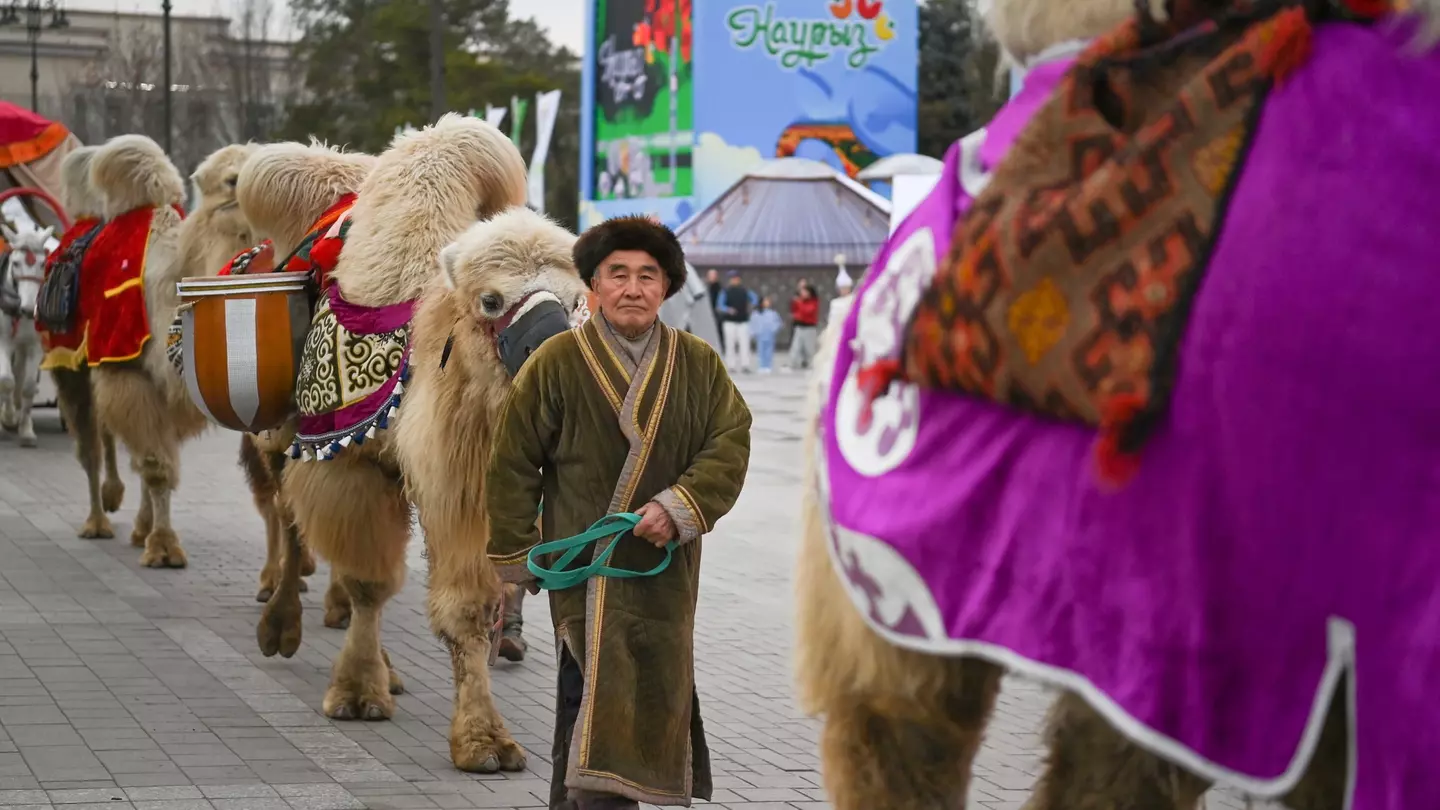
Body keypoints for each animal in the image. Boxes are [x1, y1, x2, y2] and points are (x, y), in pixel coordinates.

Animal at [250, 117, 584, 761]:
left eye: (578, 299)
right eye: (491, 300)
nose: (552, 356)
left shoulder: (467, 487)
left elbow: (472, 607)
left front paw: (484, 740)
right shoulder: (350, 467)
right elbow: (367, 581)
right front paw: (357, 695)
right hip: (282, 439)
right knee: (289, 515)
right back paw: (280, 628)